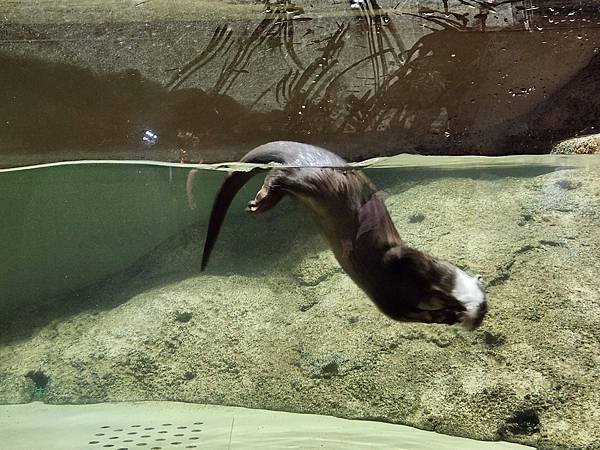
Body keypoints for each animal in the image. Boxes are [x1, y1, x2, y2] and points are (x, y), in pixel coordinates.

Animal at [202, 142, 488, 328]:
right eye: (482, 302)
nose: (479, 318)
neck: (419, 291)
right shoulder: (399, 265)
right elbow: (401, 257)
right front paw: (448, 302)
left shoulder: (392, 304)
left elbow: (410, 314)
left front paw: (445, 315)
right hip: (311, 178)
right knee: (279, 174)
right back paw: (260, 202)